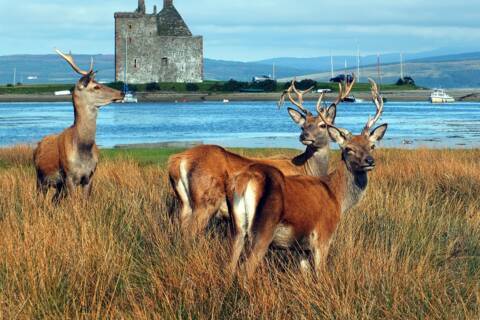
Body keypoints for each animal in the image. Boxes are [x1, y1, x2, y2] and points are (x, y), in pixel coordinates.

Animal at [33, 48, 124, 201]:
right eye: (96, 86)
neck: (83, 149)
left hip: (58, 186)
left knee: (54, 201)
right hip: (40, 179)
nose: (122, 92)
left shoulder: (90, 176)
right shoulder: (69, 176)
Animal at [167, 75, 354, 235]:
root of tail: (178, 161)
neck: (307, 169)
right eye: (303, 125)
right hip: (205, 200)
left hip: (185, 203)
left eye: (323, 125)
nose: (304, 136)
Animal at [227, 79, 388, 278]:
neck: (337, 197)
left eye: (372, 146)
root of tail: (246, 180)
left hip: (237, 229)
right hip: (263, 229)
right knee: (245, 269)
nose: (369, 161)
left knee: (229, 266)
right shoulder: (323, 234)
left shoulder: (301, 248)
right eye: (348, 149)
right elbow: (320, 273)